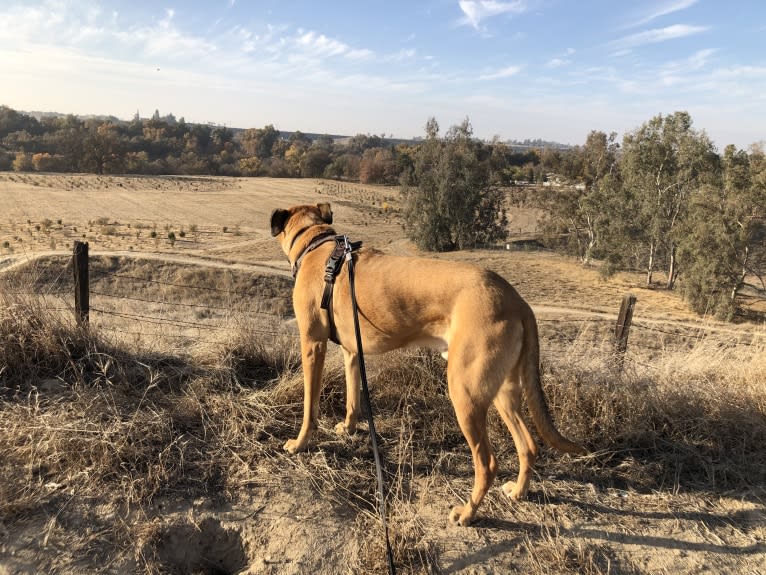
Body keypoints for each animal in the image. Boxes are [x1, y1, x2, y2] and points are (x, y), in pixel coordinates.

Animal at [272, 202, 584, 528]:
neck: (315, 243)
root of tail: (517, 301)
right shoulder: (352, 351)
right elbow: (353, 398)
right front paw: (348, 427)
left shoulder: (312, 345)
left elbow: (310, 404)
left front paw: (300, 443)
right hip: (502, 391)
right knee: (528, 445)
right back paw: (519, 492)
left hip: (465, 392)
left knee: (487, 463)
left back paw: (467, 513)